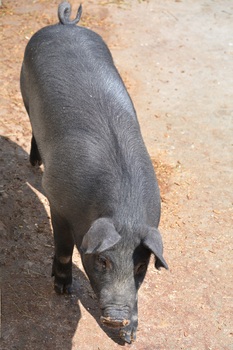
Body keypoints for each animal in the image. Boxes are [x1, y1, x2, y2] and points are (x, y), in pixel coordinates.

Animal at [20, 1, 168, 344]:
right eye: (103, 260)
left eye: (140, 267)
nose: (116, 317)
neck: (124, 211)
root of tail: (66, 25)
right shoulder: (58, 202)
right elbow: (63, 247)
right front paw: (62, 289)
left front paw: (129, 339)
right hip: (24, 94)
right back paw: (34, 163)